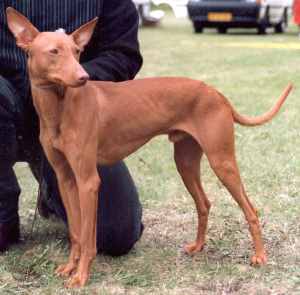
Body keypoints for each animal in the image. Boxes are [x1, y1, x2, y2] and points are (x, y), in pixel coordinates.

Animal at [6, 6, 292, 290]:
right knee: (204, 203)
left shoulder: (88, 181)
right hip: (186, 163)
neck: (59, 108)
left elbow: (88, 237)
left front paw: (81, 276)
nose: (83, 77)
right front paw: (69, 268)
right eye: (54, 51)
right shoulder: (66, 178)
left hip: (222, 162)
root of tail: (216, 93)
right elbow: (76, 232)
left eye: (77, 51)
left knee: (251, 210)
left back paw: (259, 256)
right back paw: (198, 246)